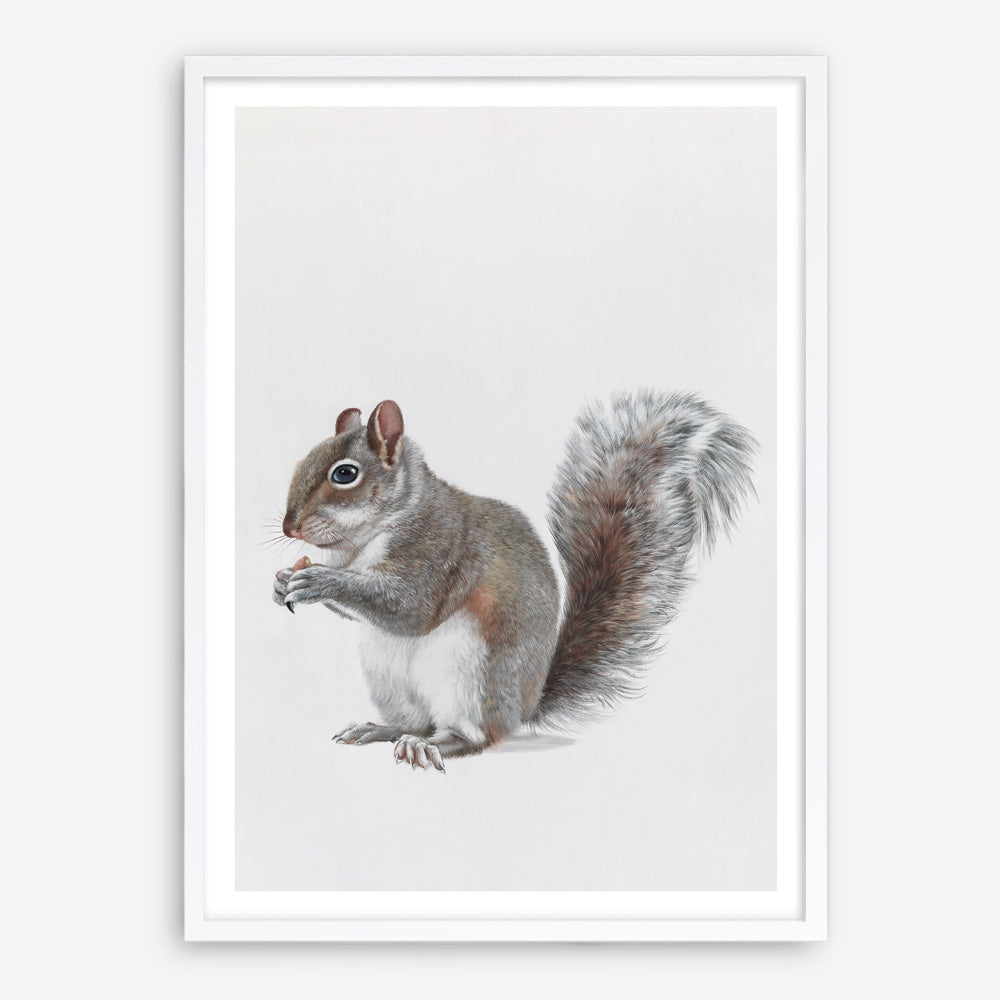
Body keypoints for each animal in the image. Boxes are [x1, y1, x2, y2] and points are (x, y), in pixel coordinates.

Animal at [273, 391, 756, 772]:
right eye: (302, 460)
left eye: (345, 474)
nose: (288, 527)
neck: (365, 539)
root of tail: (521, 710)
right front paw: (282, 583)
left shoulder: (441, 550)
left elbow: (412, 607)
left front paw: (318, 581)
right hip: (386, 673)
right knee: (416, 721)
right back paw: (381, 729)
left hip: (471, 676)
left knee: (470, 737)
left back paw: (428, 746)